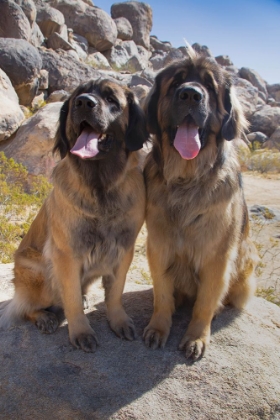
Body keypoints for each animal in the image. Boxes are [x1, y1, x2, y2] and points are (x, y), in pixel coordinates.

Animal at [0, 78, 149, 352]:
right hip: (41, 274)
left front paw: (118, 320)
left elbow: (115, 293)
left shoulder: (123, 250)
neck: (100, 187)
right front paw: (81, 331)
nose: (84, 103)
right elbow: (71, 299)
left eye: (111, 99)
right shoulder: (67, 255)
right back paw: (44, 317)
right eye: (79, 95)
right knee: (25, 307)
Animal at [142, 50, 258, 360]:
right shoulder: (159, 246)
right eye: (176, 83)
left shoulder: (217, 257)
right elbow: (161, 295)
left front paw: (196, 337)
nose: (191, 95)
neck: (187, 178)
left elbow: (205, 302)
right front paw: (158, 327)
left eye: (208, 86)